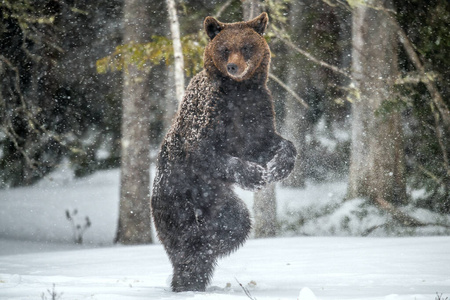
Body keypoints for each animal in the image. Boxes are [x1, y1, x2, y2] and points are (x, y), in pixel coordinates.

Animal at [151, 12, 298, 292]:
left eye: (246, 47)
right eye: (225, 48)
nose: (233, 67)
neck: (238, 92)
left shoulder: (257, 110)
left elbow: (268, 143)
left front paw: (278, 166)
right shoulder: (209, 113)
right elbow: (203, 151)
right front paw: (253, 175)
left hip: (217, 199)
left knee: (235, 222)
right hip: (177, 197)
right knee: (185, 237)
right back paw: (191, 264)